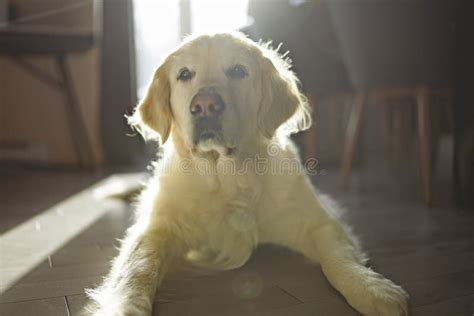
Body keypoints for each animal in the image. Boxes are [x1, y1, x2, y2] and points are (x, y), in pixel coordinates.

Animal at [87, 33, 410, 314]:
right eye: (184, 74)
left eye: (238, 71)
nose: (205, 105)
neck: (225, 177)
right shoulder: (157, 228)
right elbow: (139, 266)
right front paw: (124, 306)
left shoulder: (317, 221)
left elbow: (338, 257)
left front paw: (370, 288)